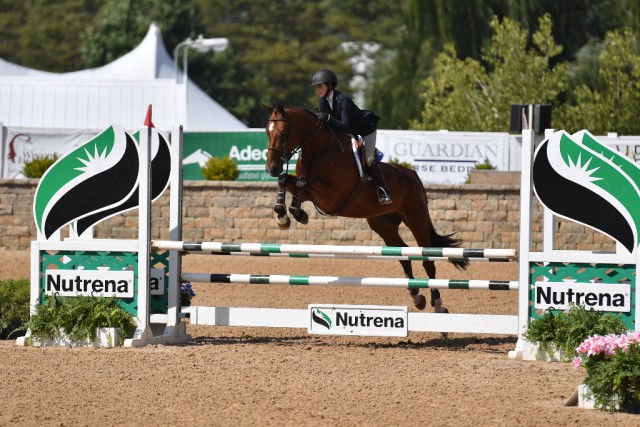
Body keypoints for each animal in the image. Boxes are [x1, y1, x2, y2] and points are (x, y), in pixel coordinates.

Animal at [262, 105, 468, 312]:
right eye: (267, 132)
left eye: (284, 132)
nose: (272, 168)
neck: (319, 151)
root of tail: (413, 175)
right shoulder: (313, 194)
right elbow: (288, 181)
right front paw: (286, 215)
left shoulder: (331, 196)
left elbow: (300, 184)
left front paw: (294, 214)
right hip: (383, 226)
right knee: (403, 254)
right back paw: (416, 296)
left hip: (417, 220)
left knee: (428, 260)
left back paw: (438, 303)